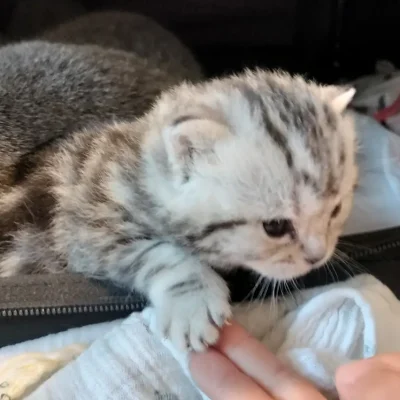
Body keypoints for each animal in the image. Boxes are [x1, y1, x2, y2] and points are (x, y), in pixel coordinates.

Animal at [0, 70, 358, 352]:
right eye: (275, 227)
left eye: (336, 210)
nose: (317, 257)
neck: (140, 168)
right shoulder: (85, 225)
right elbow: (157, 252)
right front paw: (192, 302)